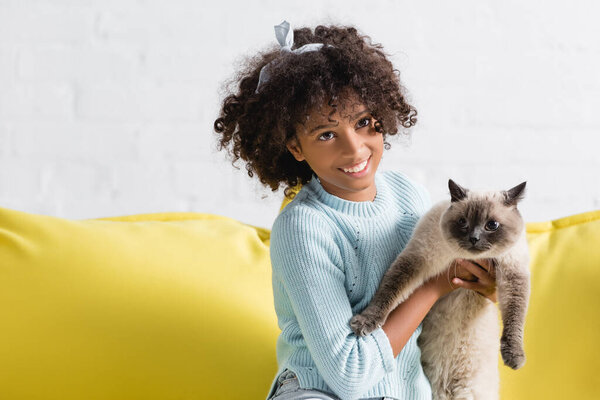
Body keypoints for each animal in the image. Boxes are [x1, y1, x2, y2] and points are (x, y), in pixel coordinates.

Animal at [352, 181, 528, 400]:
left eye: (492, 225)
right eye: (462, 222)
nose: (474, 238)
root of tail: (447, 387)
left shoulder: (513, 275)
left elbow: (515, 317)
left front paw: (514, 357)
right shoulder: (416, 259)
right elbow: (388, 292)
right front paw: (364, 323)